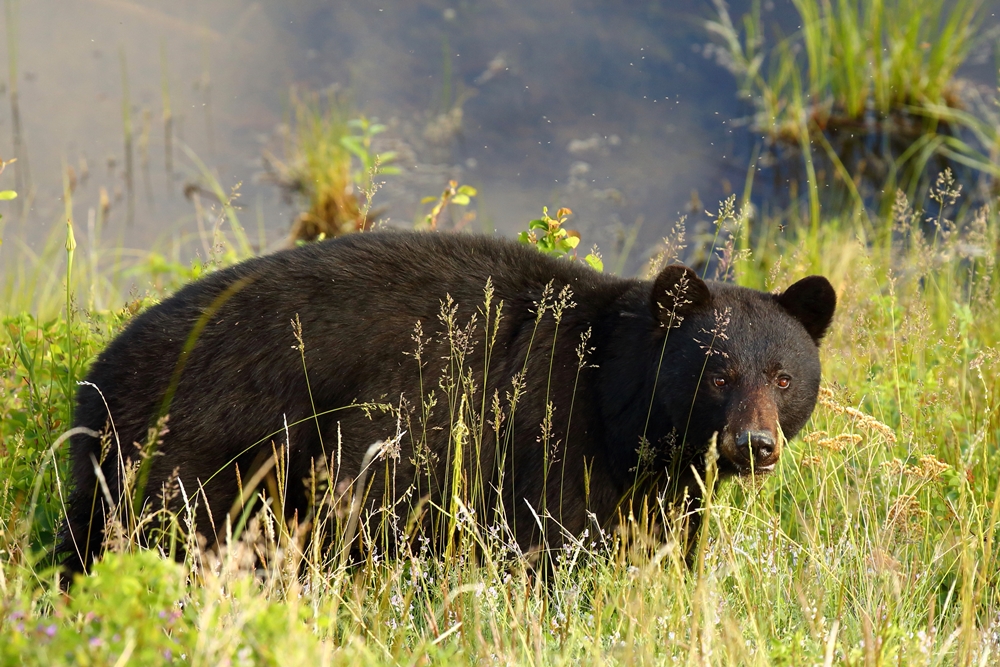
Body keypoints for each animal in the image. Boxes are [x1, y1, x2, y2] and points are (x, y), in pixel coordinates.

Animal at [56, 232, 836, 572]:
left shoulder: (661, 480)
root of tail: (97, 382)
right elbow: (558, 536)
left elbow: (663, 534)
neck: (613, 395)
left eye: (784, 377)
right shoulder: (547, 432)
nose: (754, 445)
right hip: (203, 446)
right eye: (718, 373)